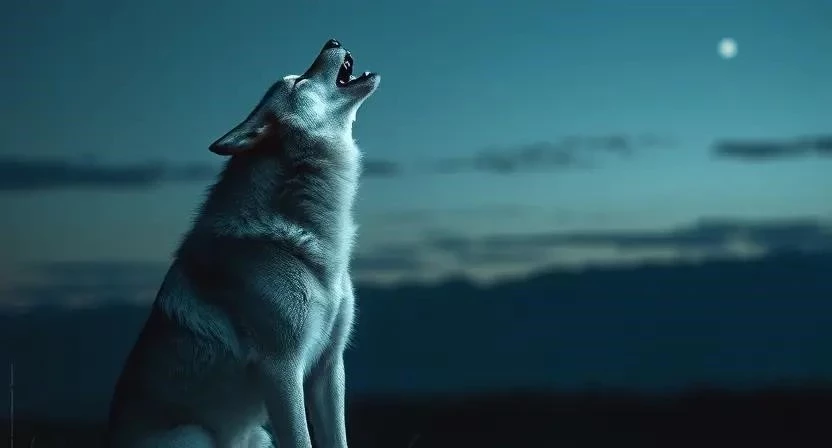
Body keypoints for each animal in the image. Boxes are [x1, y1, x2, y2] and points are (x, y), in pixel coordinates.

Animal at [106, 39, 380, 448]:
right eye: (298, 81)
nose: (332, 41)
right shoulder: (282, 370)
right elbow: (301, 439)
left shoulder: (329, 367)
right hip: (198, 436)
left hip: (259, 436)